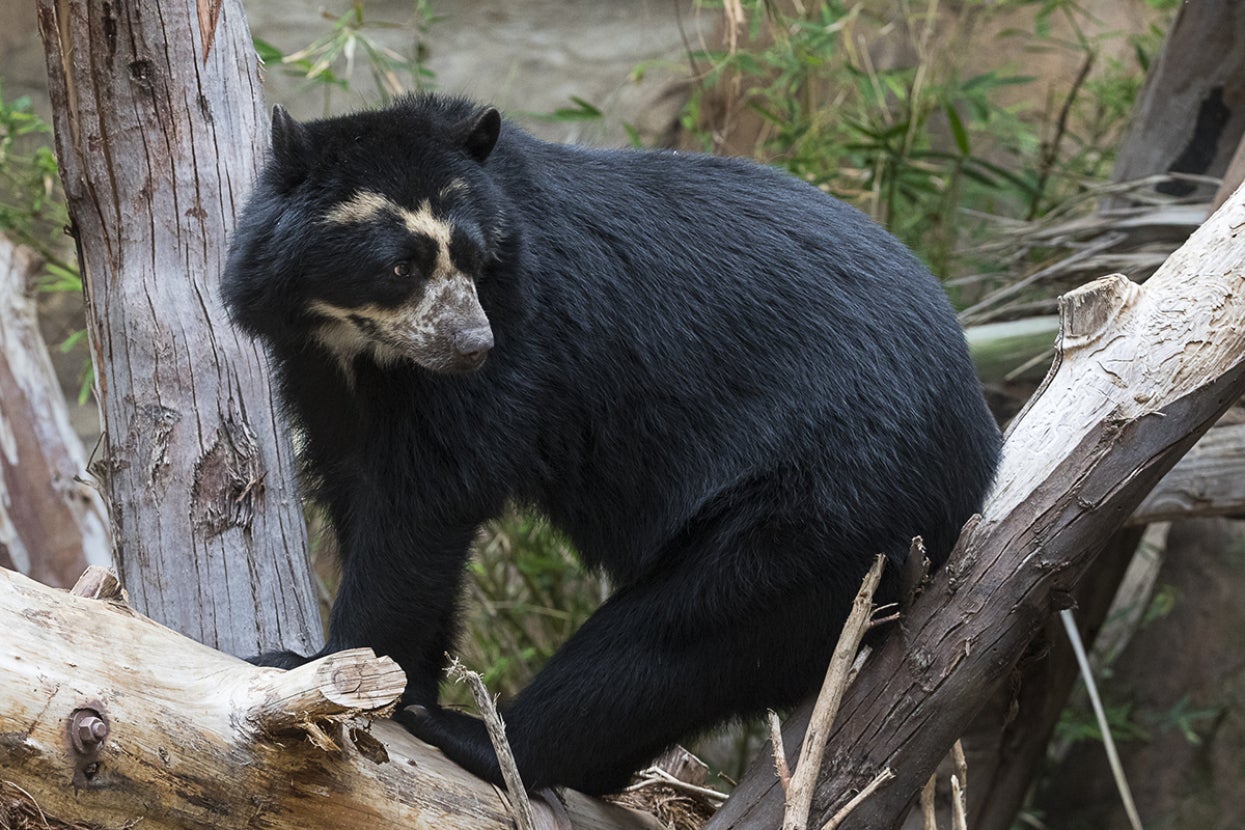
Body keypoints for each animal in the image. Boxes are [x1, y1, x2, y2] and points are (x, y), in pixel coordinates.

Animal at [222, 92, 1001, 795]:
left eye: (473, 259)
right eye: (399, 267)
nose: (472, 345)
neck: (363, 348)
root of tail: (976, 447)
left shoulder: (518, 339)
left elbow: (425, 507)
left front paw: (326, 668)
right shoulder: (323, 369)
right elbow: (364, 487)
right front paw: (369, 676)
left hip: (835, 496)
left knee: (677, 635)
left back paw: (486, 741)